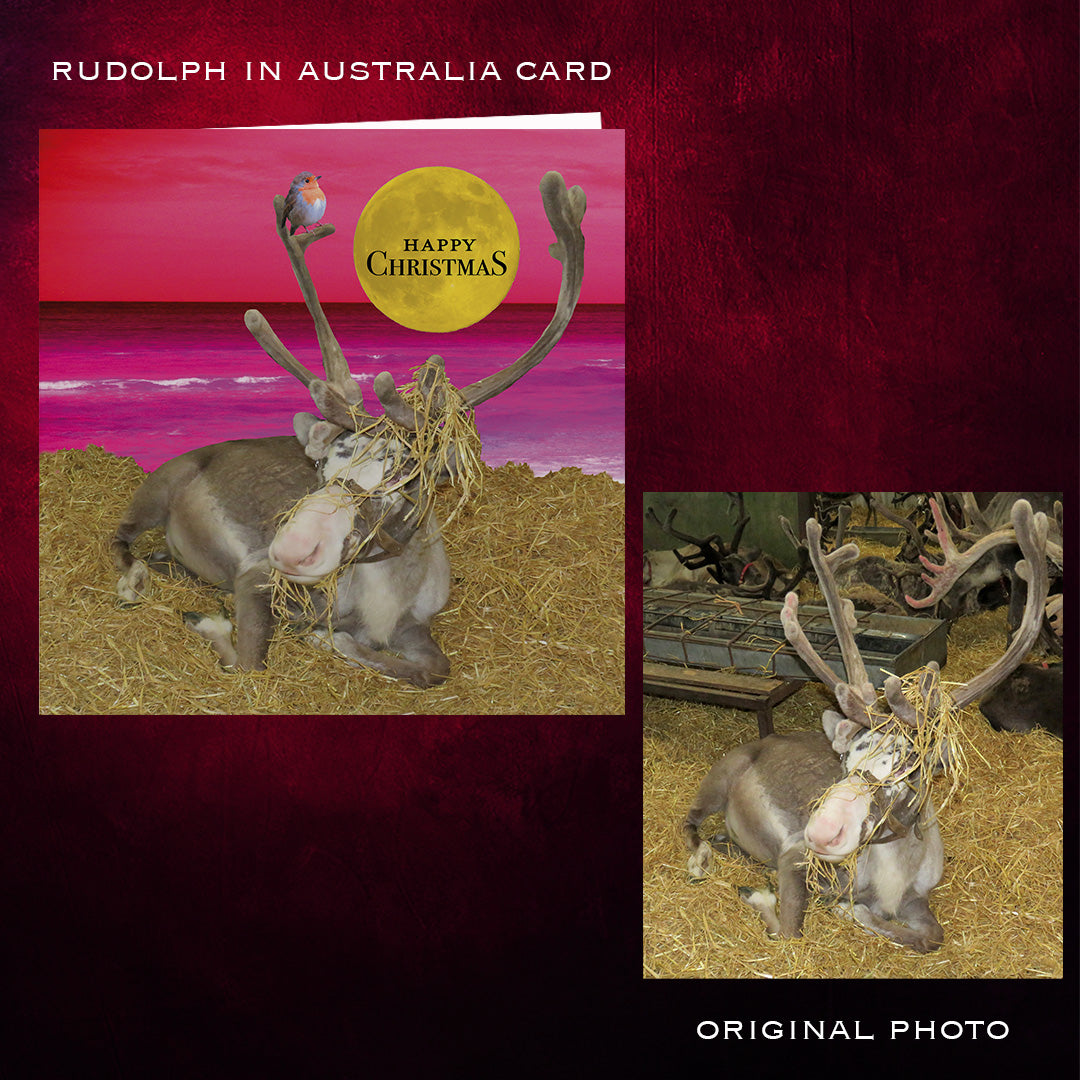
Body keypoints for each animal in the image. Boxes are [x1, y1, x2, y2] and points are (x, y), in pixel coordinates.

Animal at [111, 171, 585, 688]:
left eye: (406, 477)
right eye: (323, 465)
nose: (292, 550)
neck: (382, 604)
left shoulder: (415, 625)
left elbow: (434, 670)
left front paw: (340, 642)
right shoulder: (256, 576)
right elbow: (251, 666)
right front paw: (234, 624)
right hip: (159, 487)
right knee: (120, 536)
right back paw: (134, 581)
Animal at [682, 498, 1051, 952]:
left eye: (909, 769)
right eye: (846, 761)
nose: (822, 832)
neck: (892, 880)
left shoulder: (918, 898)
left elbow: (931, 937)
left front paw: (862, 914)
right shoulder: (795, 856)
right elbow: (790, 933)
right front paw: (807, 901)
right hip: (717, 779)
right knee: (691, 822)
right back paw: (702, 859)